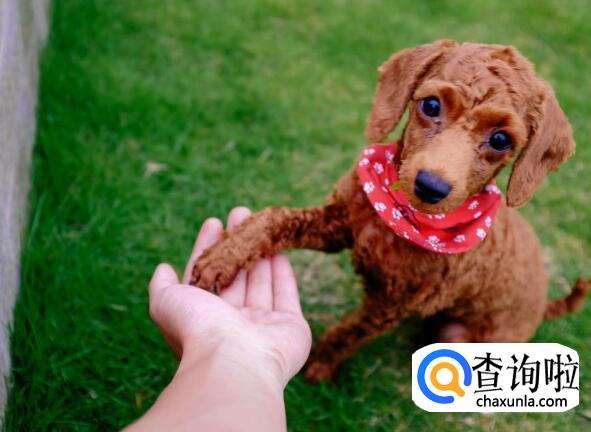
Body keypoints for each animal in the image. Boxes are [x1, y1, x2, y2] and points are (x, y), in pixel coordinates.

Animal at [191, 40, 589, 382]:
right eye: (431, 105)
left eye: (501, 140)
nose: (430, 186)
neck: (395, 217)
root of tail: (542, 308)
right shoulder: (339, 223)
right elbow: (274, 217)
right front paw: (223, 256)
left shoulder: (389, 305)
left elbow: (348, 332)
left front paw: (319, 365)